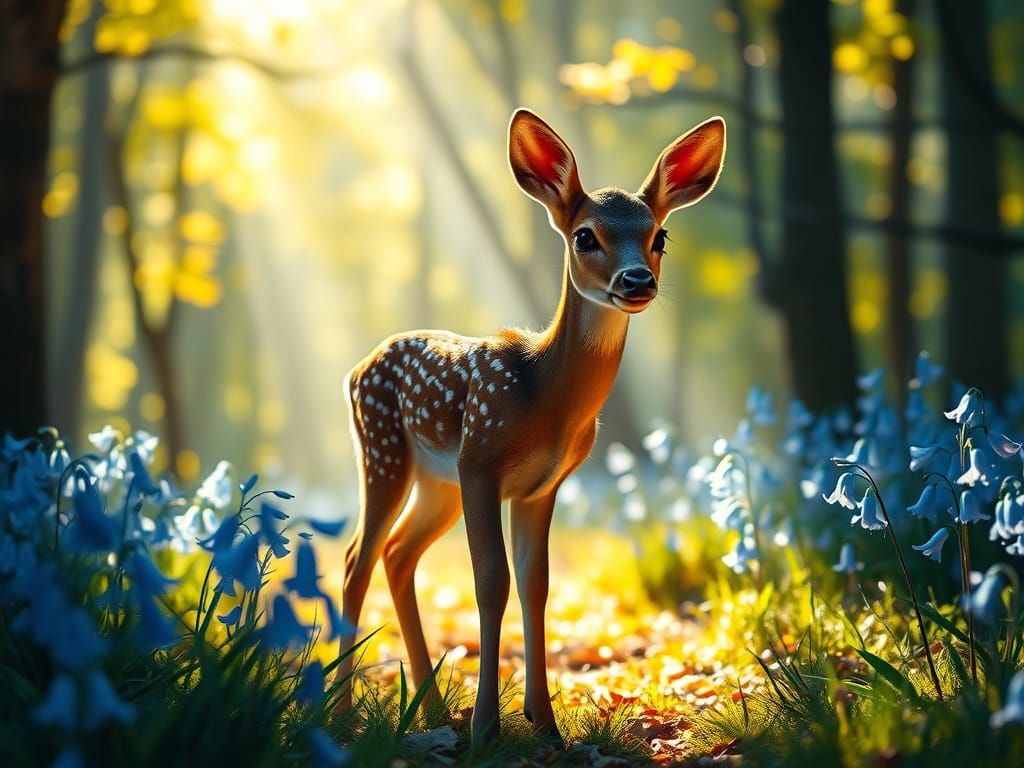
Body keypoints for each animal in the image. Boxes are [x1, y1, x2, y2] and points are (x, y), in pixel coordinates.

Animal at [334, 109, 726, 744]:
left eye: (660, 236)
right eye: (585, 235)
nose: (637, 281)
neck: (546, 398)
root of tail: (355, 369)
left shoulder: (541, 486)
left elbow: (535, 585)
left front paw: (545, 723)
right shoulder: (480, 461)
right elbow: (490, 581)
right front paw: (487, 728)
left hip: (436, 482)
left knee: (397, 555)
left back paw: (433, 710)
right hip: (385, 451)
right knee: (356, 560)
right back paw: (343, 714)